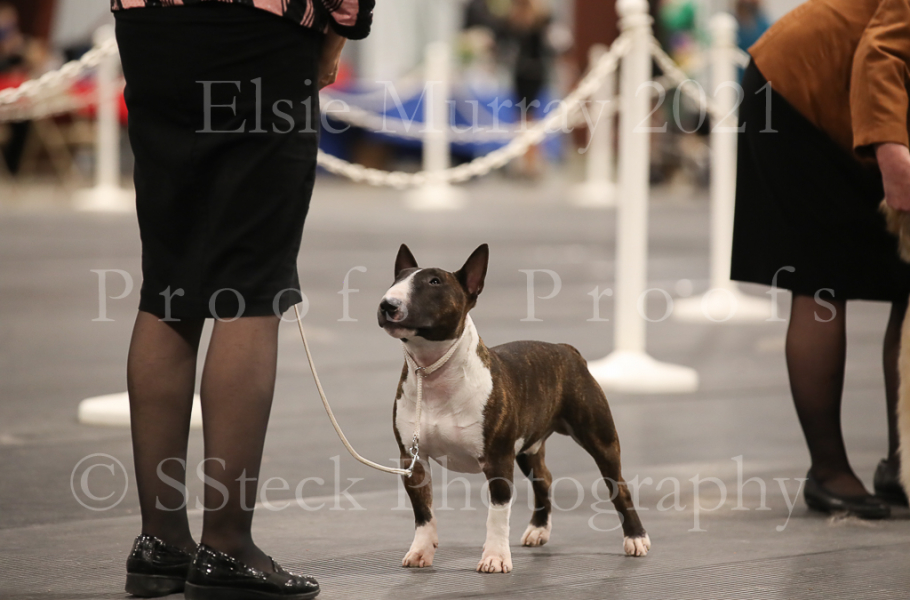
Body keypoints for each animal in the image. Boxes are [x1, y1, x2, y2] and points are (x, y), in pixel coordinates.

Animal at [377, 243, 650, 574]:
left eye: (434, 282)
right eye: (396, 280)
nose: (387, 305)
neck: (432, 372)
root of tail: (567, 350)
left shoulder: (498, 460)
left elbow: (496, 514)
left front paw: (495, 558)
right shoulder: (412, 460)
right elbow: (423, 512)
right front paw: (420, 552)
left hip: (600, 438)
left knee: (618, 486)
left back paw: (636, 538)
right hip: (529, 446)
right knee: (544, 478)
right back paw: (538, 530)